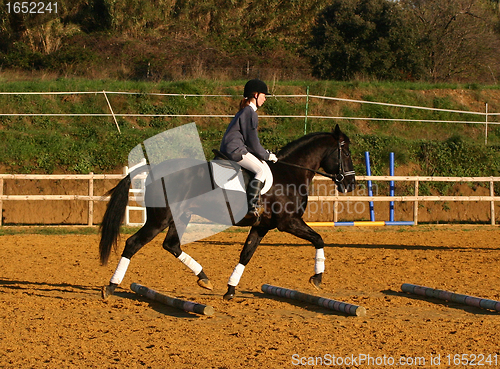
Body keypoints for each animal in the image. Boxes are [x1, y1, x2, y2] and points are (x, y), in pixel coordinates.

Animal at [98, 123, 356, 300]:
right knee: (133, 243)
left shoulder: (262, 226)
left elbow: (246, 254)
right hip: (159, 219)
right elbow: (319, 239)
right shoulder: (289, 223)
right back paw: (110, 286)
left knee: (171, 245)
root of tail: (153, 169)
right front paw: (317, 278)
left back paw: (204, 278)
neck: (291, 172)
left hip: (180, 217)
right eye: (347, 154)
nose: (351, 184)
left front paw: (230, 289)